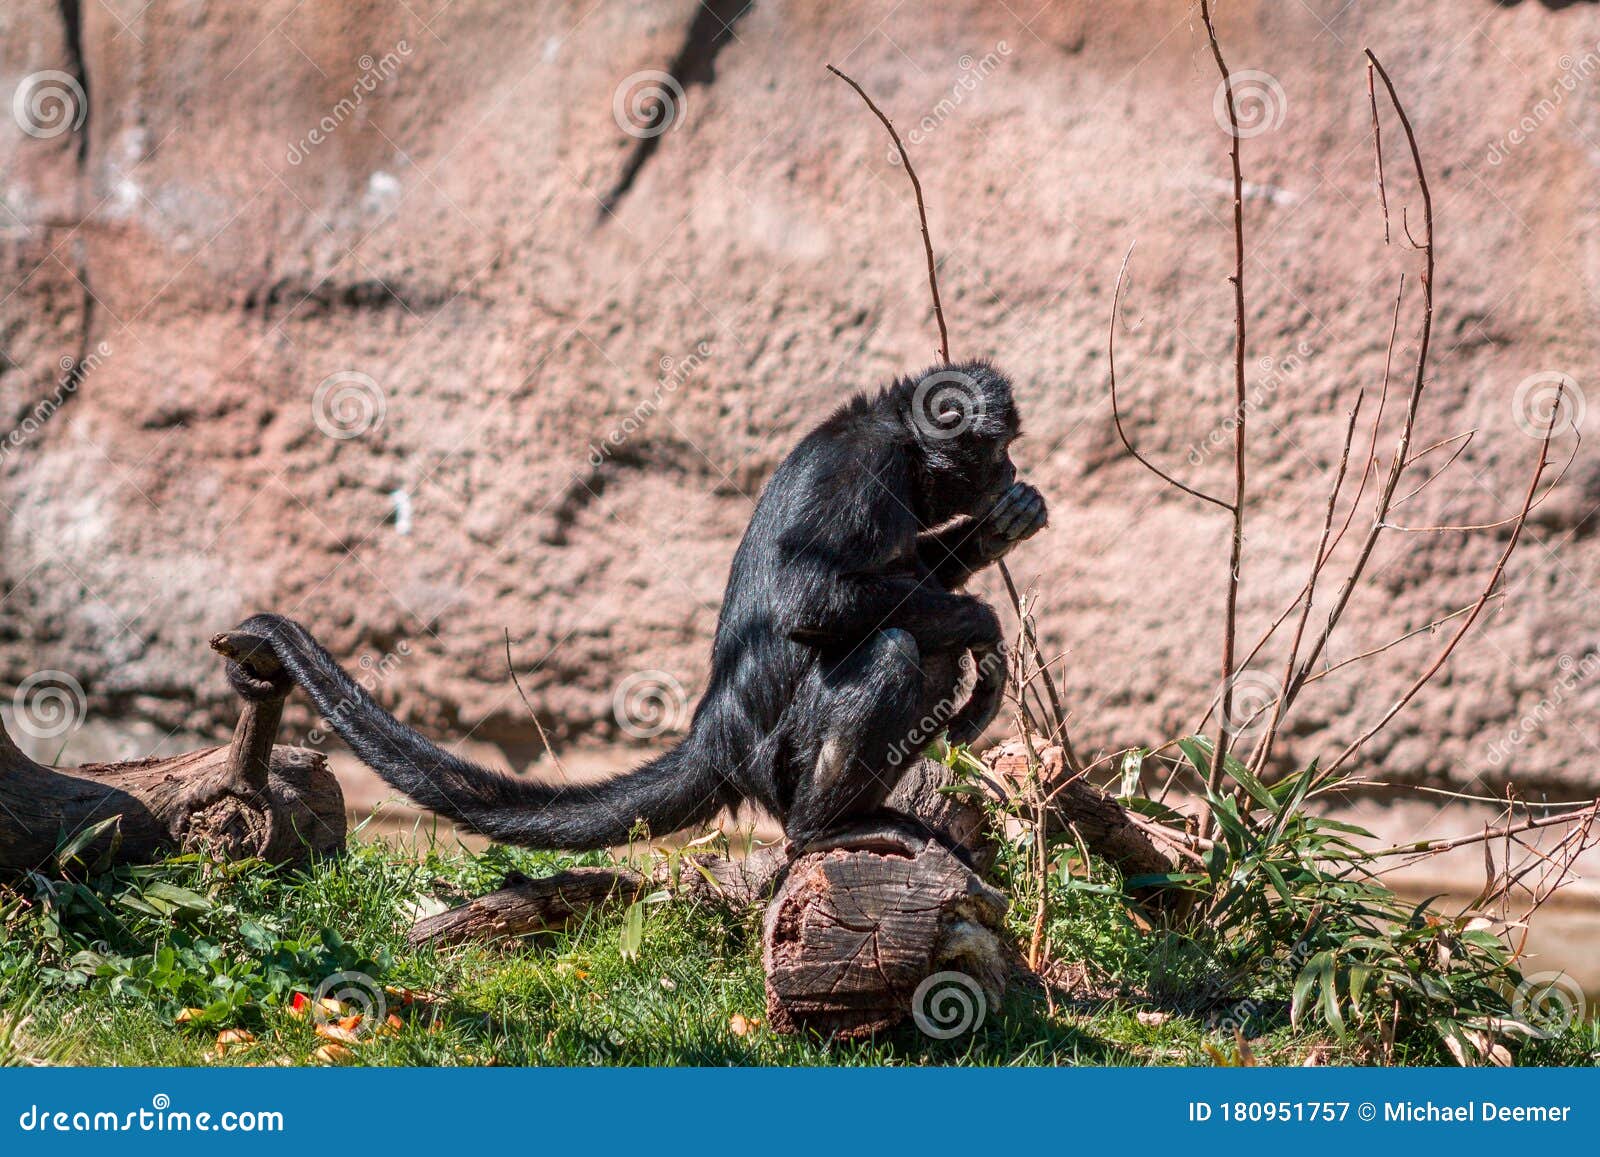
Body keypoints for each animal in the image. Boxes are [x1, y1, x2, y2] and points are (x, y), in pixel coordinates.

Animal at [232, 361, 1043, 851]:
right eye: (997, 446)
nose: (1010, 466)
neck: (900, 440)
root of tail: (716, 733)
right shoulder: (865, 472)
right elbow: (811, 600)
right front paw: (986, 625)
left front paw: (998, 528)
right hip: (781, 760)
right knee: (898, 648)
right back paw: (822, 832)